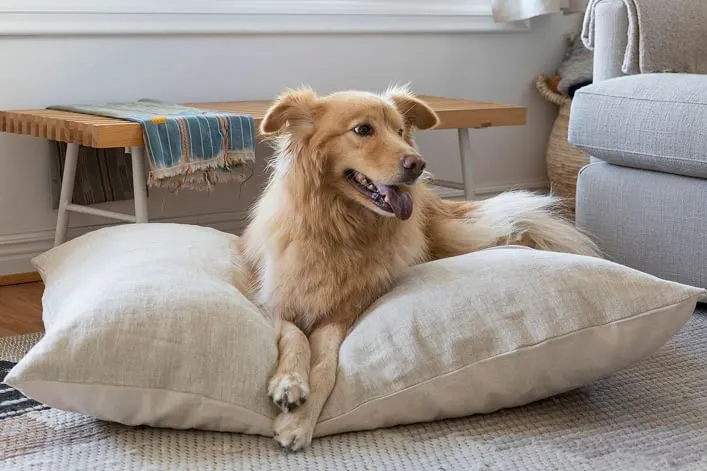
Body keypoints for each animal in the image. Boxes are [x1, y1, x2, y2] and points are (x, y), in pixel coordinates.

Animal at [241, 86, 600, 452]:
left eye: (400, 131)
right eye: (363, 130)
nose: (417, 163)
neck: (340, 229)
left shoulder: (343, 313)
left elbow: (326, 363)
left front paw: (299, 421)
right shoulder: (276, 301)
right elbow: (296, 337)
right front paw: (289, 383)